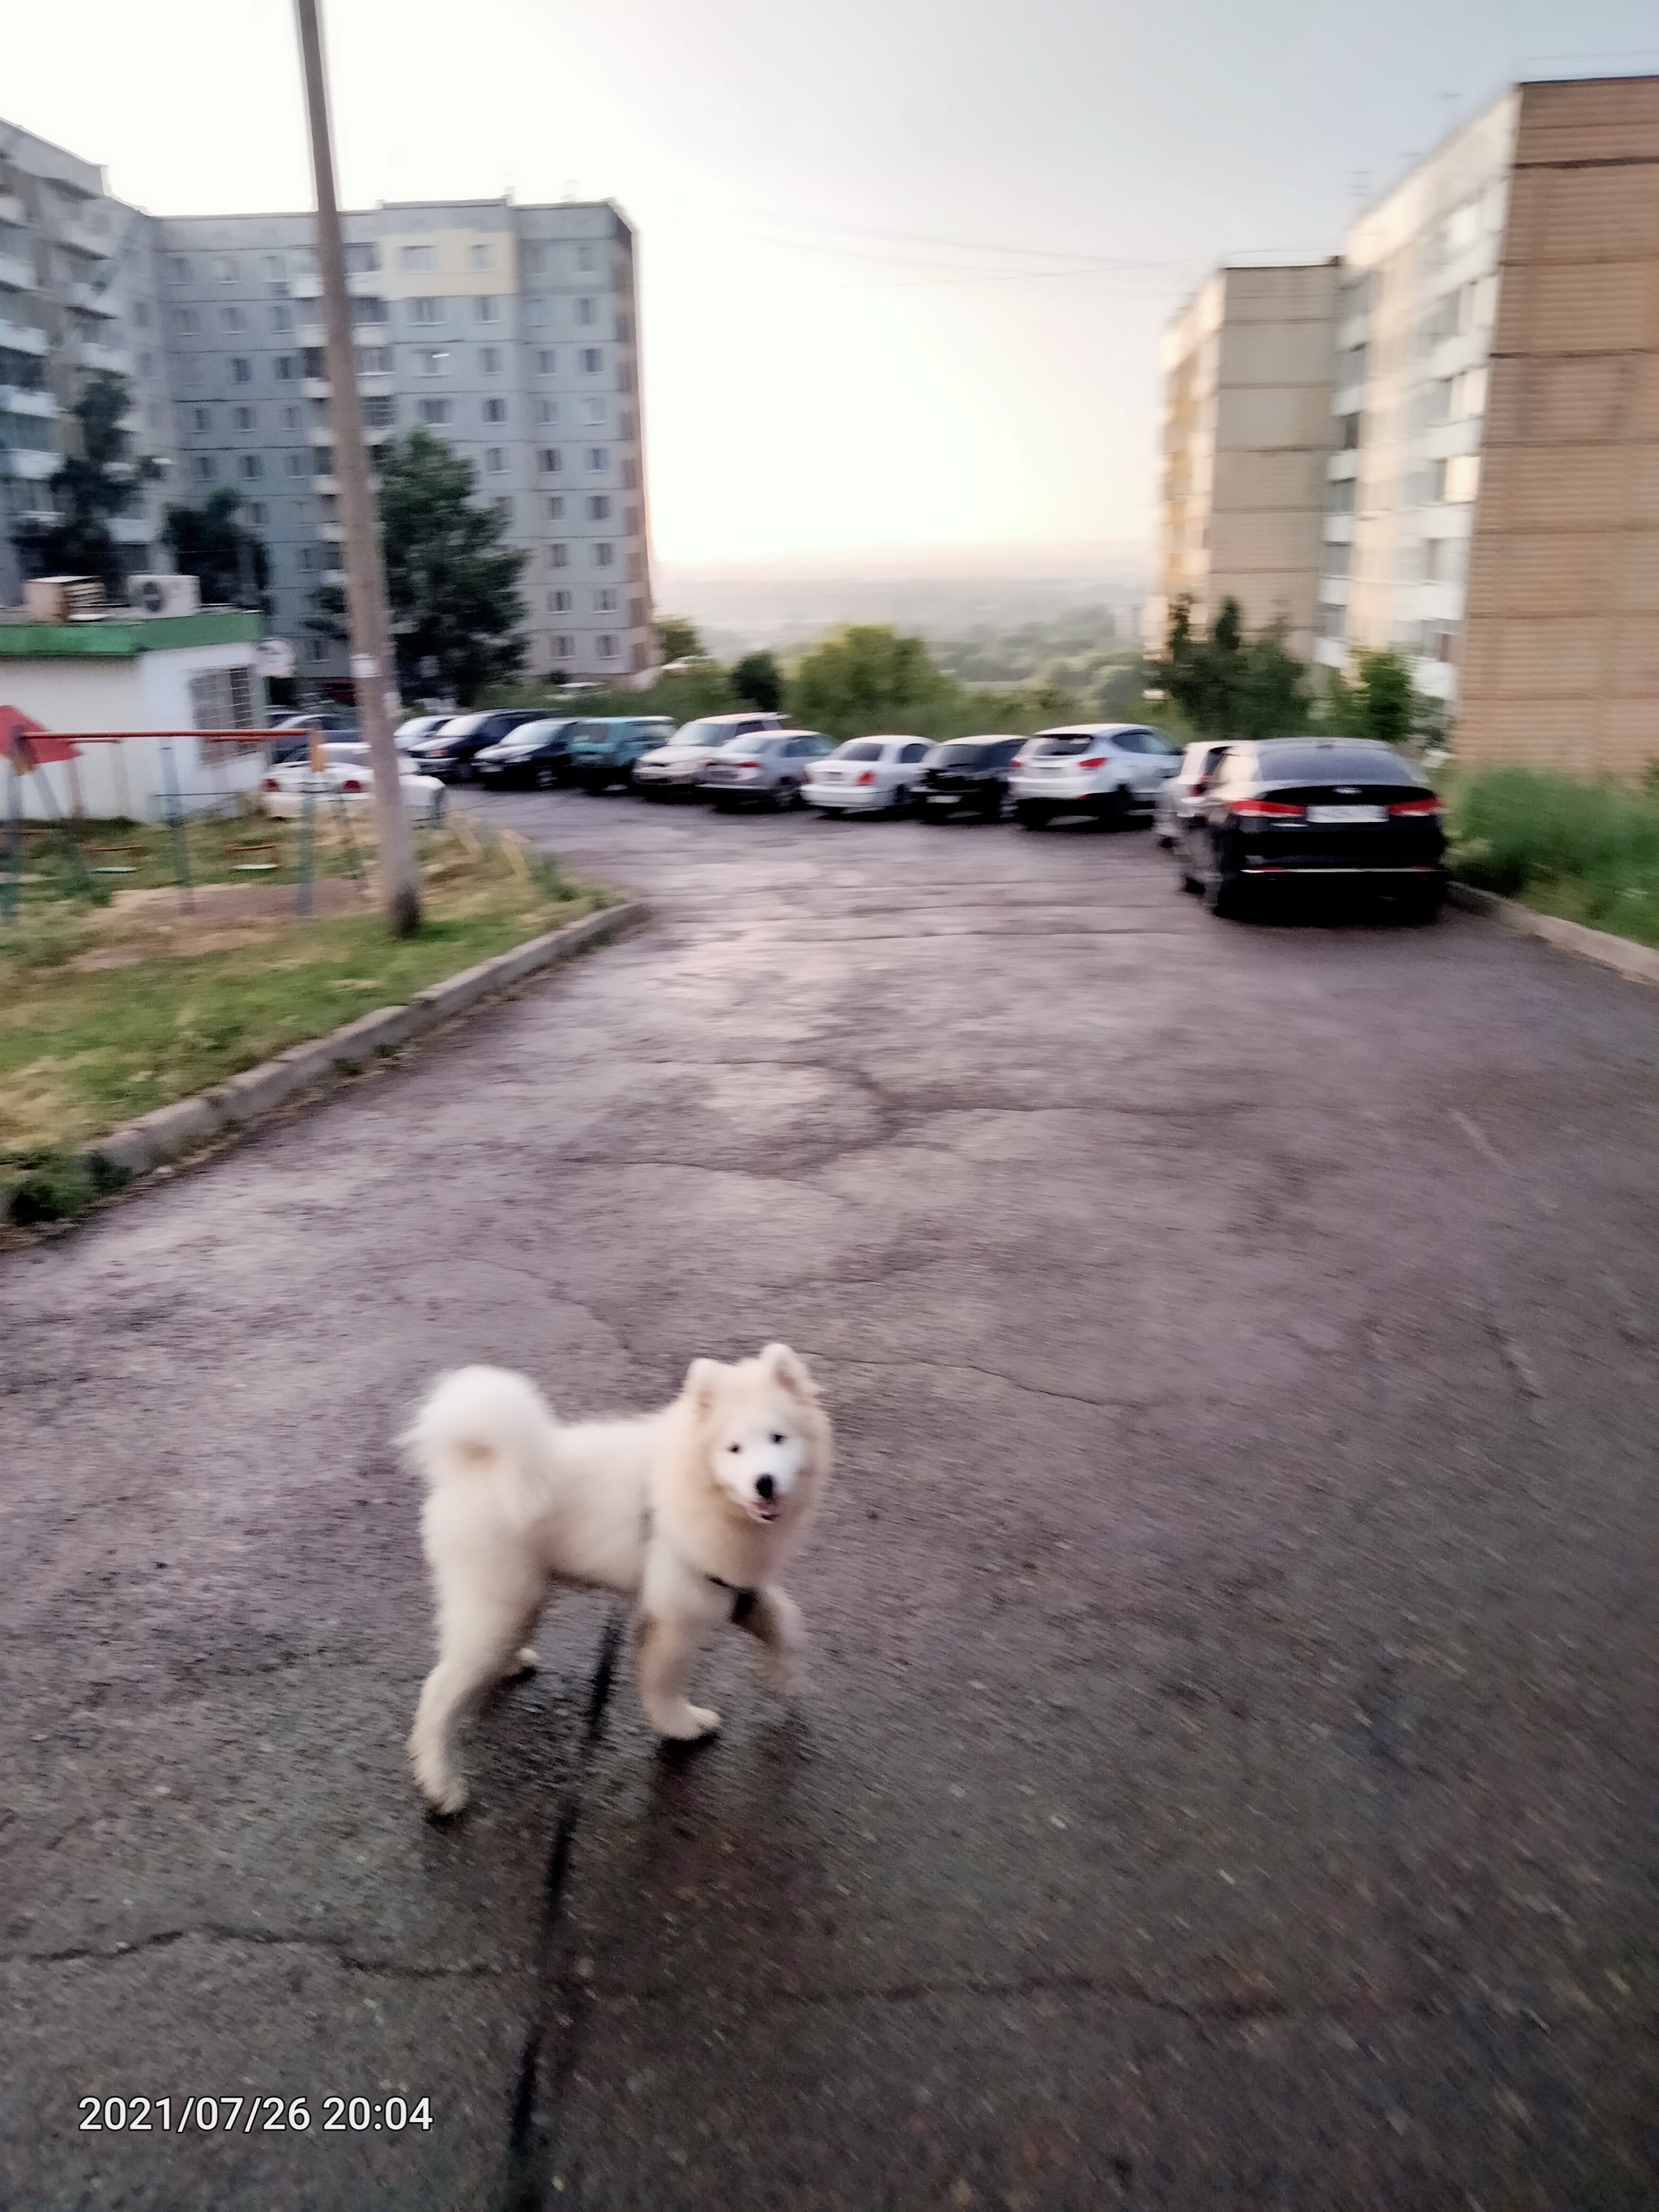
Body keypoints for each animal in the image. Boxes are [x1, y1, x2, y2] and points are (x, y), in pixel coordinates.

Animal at [404, 1336, 831, 1805]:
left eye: (778, 1438)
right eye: (733, 1448)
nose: (764, 1482)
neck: (705, 1491)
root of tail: (472, 1468)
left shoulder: (730, 1585)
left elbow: (785, 1622)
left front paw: (783, 1675)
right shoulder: (679, 1611)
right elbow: (665, 1681)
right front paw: (682, 1727)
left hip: (516, 1600)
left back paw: (511, 1663)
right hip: (498, 1602)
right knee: (439, 1692)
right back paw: (441, 1784)